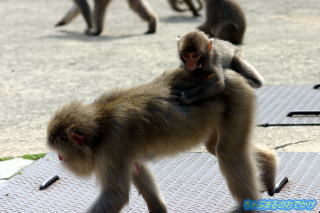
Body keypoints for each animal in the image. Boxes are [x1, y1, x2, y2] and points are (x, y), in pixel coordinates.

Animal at [47, 67, 278, 212]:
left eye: (61, 153)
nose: (60, 159)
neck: (100, 126)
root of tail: (229, 74)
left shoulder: (112, 146)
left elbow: (115, 195)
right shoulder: (121, 151)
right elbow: (137, 169)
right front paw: (158, 208)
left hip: (238, 98)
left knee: (228, 153)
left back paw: (249, 205)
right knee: (217, 147)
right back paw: (269, 162)